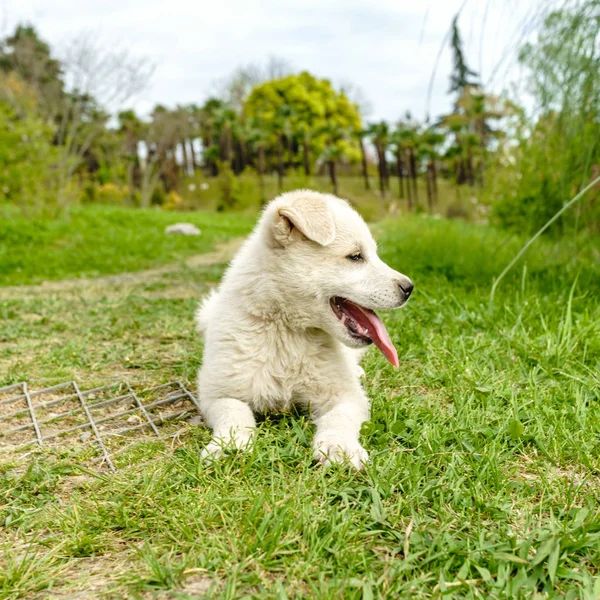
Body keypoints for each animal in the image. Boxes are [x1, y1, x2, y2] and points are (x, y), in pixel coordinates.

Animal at [197, 191, 412, 468]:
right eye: (355, 256)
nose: (409, 288)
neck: (287, 331)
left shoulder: (347, 395)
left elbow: (339, 418)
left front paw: (339, 447)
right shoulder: (218, 392)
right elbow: (234, 413)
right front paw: (229, 445)